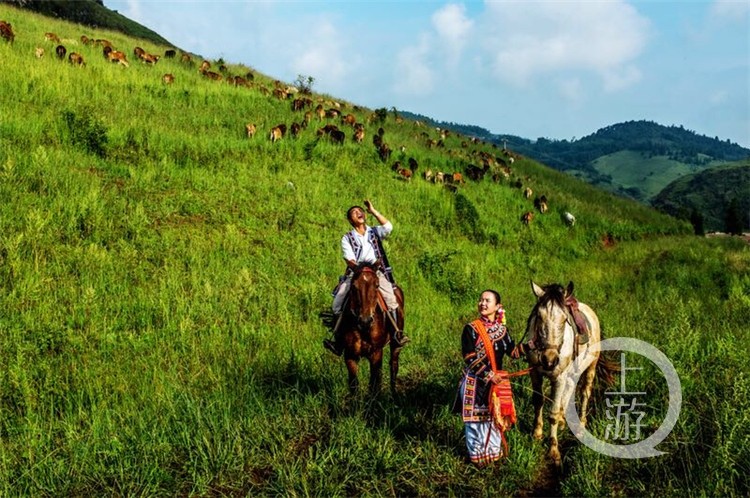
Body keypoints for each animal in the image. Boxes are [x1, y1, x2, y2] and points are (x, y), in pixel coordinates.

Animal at [342, 262, 406, 394]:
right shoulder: (350, 355)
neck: (363, 330)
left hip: (395, 343)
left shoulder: (376, 353)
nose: (365, 321)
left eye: (377, 285)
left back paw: (394, 394)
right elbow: (354, 385)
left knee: (393, 365)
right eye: (354, 286)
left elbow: (374, 385)